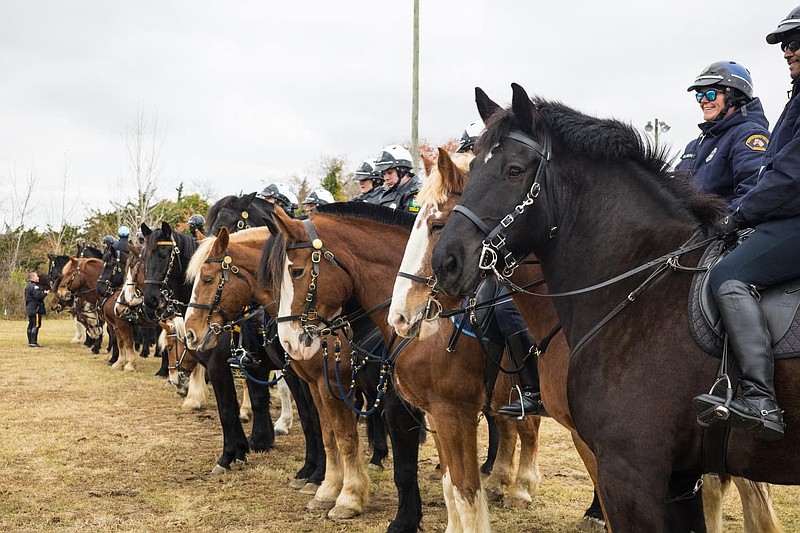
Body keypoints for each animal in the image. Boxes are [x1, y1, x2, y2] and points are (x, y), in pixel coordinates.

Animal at [259, 202, 546, 532]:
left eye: (296, 271)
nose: (288, 341)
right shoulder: (432, 411)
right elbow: (449, 483)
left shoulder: (434, 410)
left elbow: (418, 472)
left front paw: (379, 511)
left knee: (529, 429)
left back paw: (523, 489)